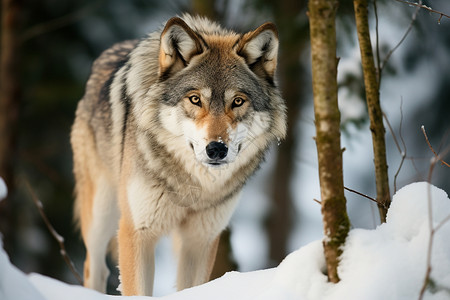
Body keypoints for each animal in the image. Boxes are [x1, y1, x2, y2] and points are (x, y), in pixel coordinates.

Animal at [71, 14, 286, 296]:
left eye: (238, 101)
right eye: (195, 99)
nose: (216, 149)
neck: (192, 187)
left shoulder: (201, 240)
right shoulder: (136, 232)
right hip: (101, 216)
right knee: (94, 269)